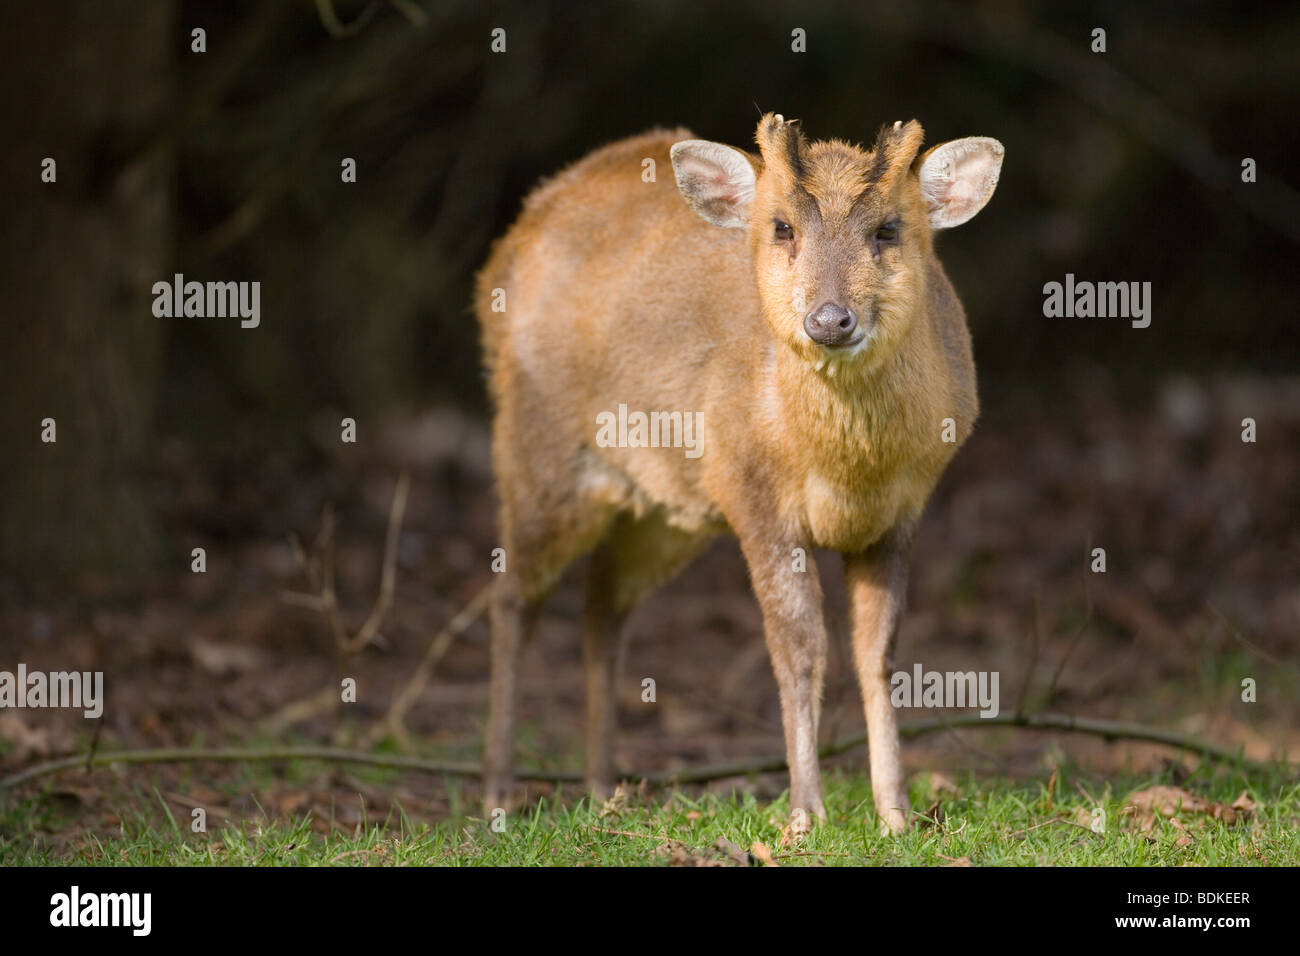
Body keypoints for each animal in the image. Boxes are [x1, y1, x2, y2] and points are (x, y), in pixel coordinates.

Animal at [478, 111, 1003, 832]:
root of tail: (502, 257)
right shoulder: (754, 496)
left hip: (668, 508)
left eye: (889, 228)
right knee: (510, 597)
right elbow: (798, 649)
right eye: (782, 227)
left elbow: (878, 655)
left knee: (602, 603)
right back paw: (499, 793)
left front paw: (894, 813)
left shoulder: (901, 512)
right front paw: (805, 814)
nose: (829, 319)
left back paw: (604, 785)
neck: (847, 471)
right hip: (539, 450)